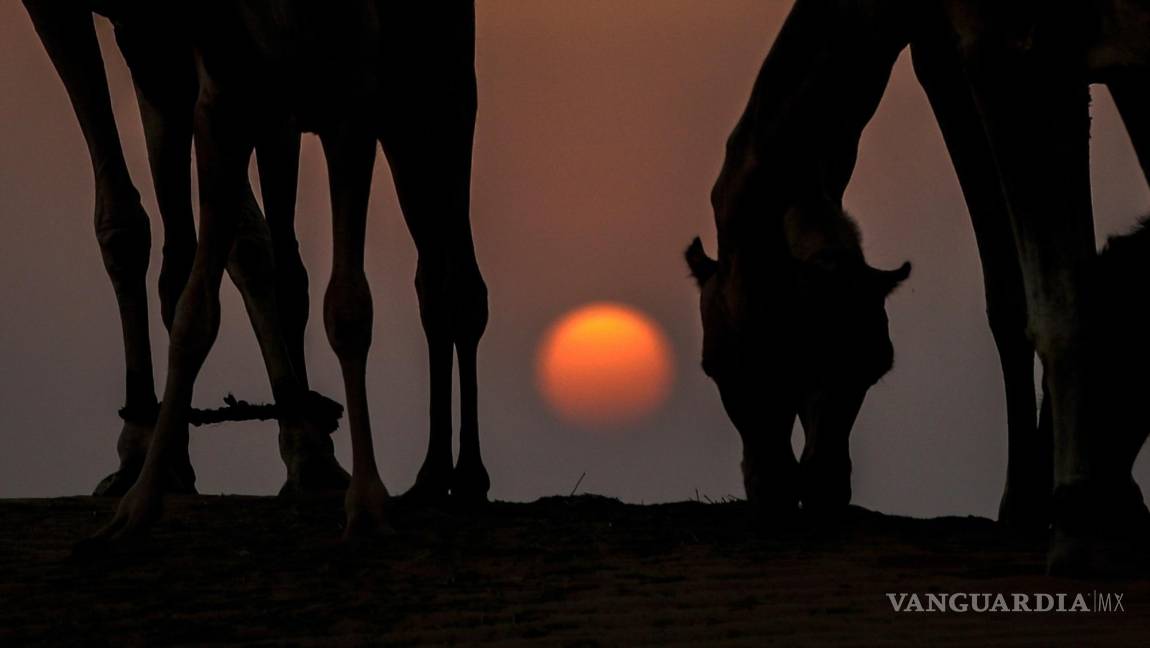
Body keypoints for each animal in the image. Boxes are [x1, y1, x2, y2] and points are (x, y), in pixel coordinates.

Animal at [685, 0, 1150, 575]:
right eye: (715, 366)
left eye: (874, 368)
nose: (806, 493)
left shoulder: (983, 47)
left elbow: (1017, 291)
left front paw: (1033, 503)